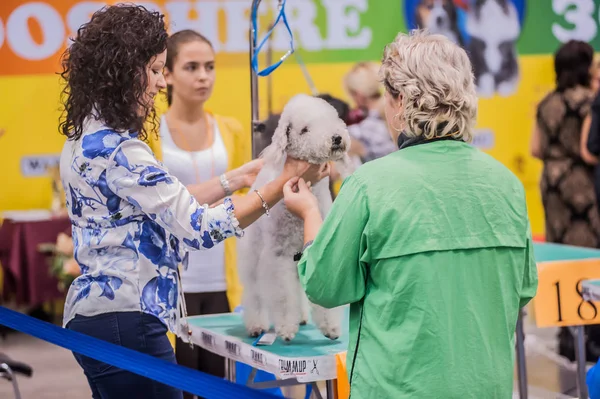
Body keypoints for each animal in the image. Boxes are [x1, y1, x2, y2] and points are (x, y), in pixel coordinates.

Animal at [238, 94, 352, 340]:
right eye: (305, 129)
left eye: (332, 118)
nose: (336, 138)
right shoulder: (279, 255)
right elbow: (283, 295)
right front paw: (286, 330)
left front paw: (331, 327)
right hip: (254, 255)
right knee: (255, 292)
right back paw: (256, 325)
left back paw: (301, 316)